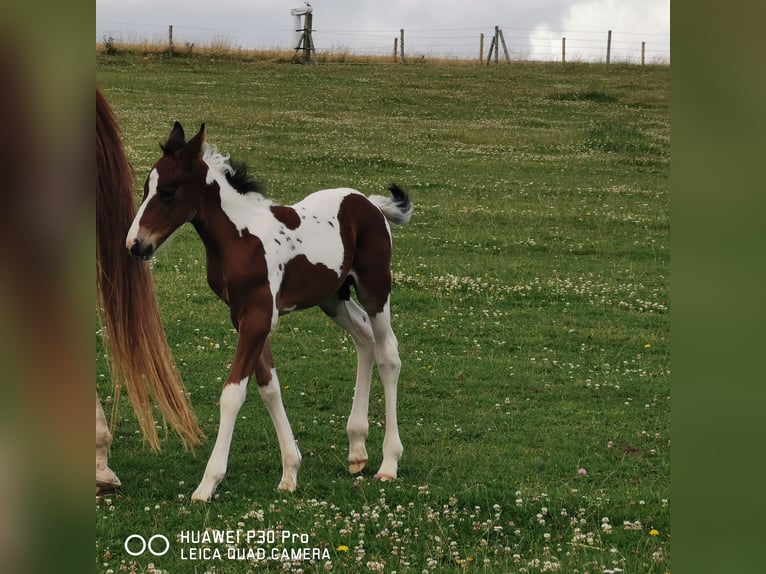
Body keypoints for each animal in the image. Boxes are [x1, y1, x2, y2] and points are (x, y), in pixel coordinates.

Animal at [125, 122, 412, 501]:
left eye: (170, 191)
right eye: (147, 188)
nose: (135, 244)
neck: (240, 238)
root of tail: (369, 203)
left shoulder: (258, 317)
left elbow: (233, 393)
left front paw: (208, 483)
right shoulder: (244, 316)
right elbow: (269, 387)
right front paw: (290, 471)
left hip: (374, 287)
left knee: (388, 354)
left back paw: (389, 462)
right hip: (332, 298)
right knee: (364, 339)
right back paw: (356, 449)